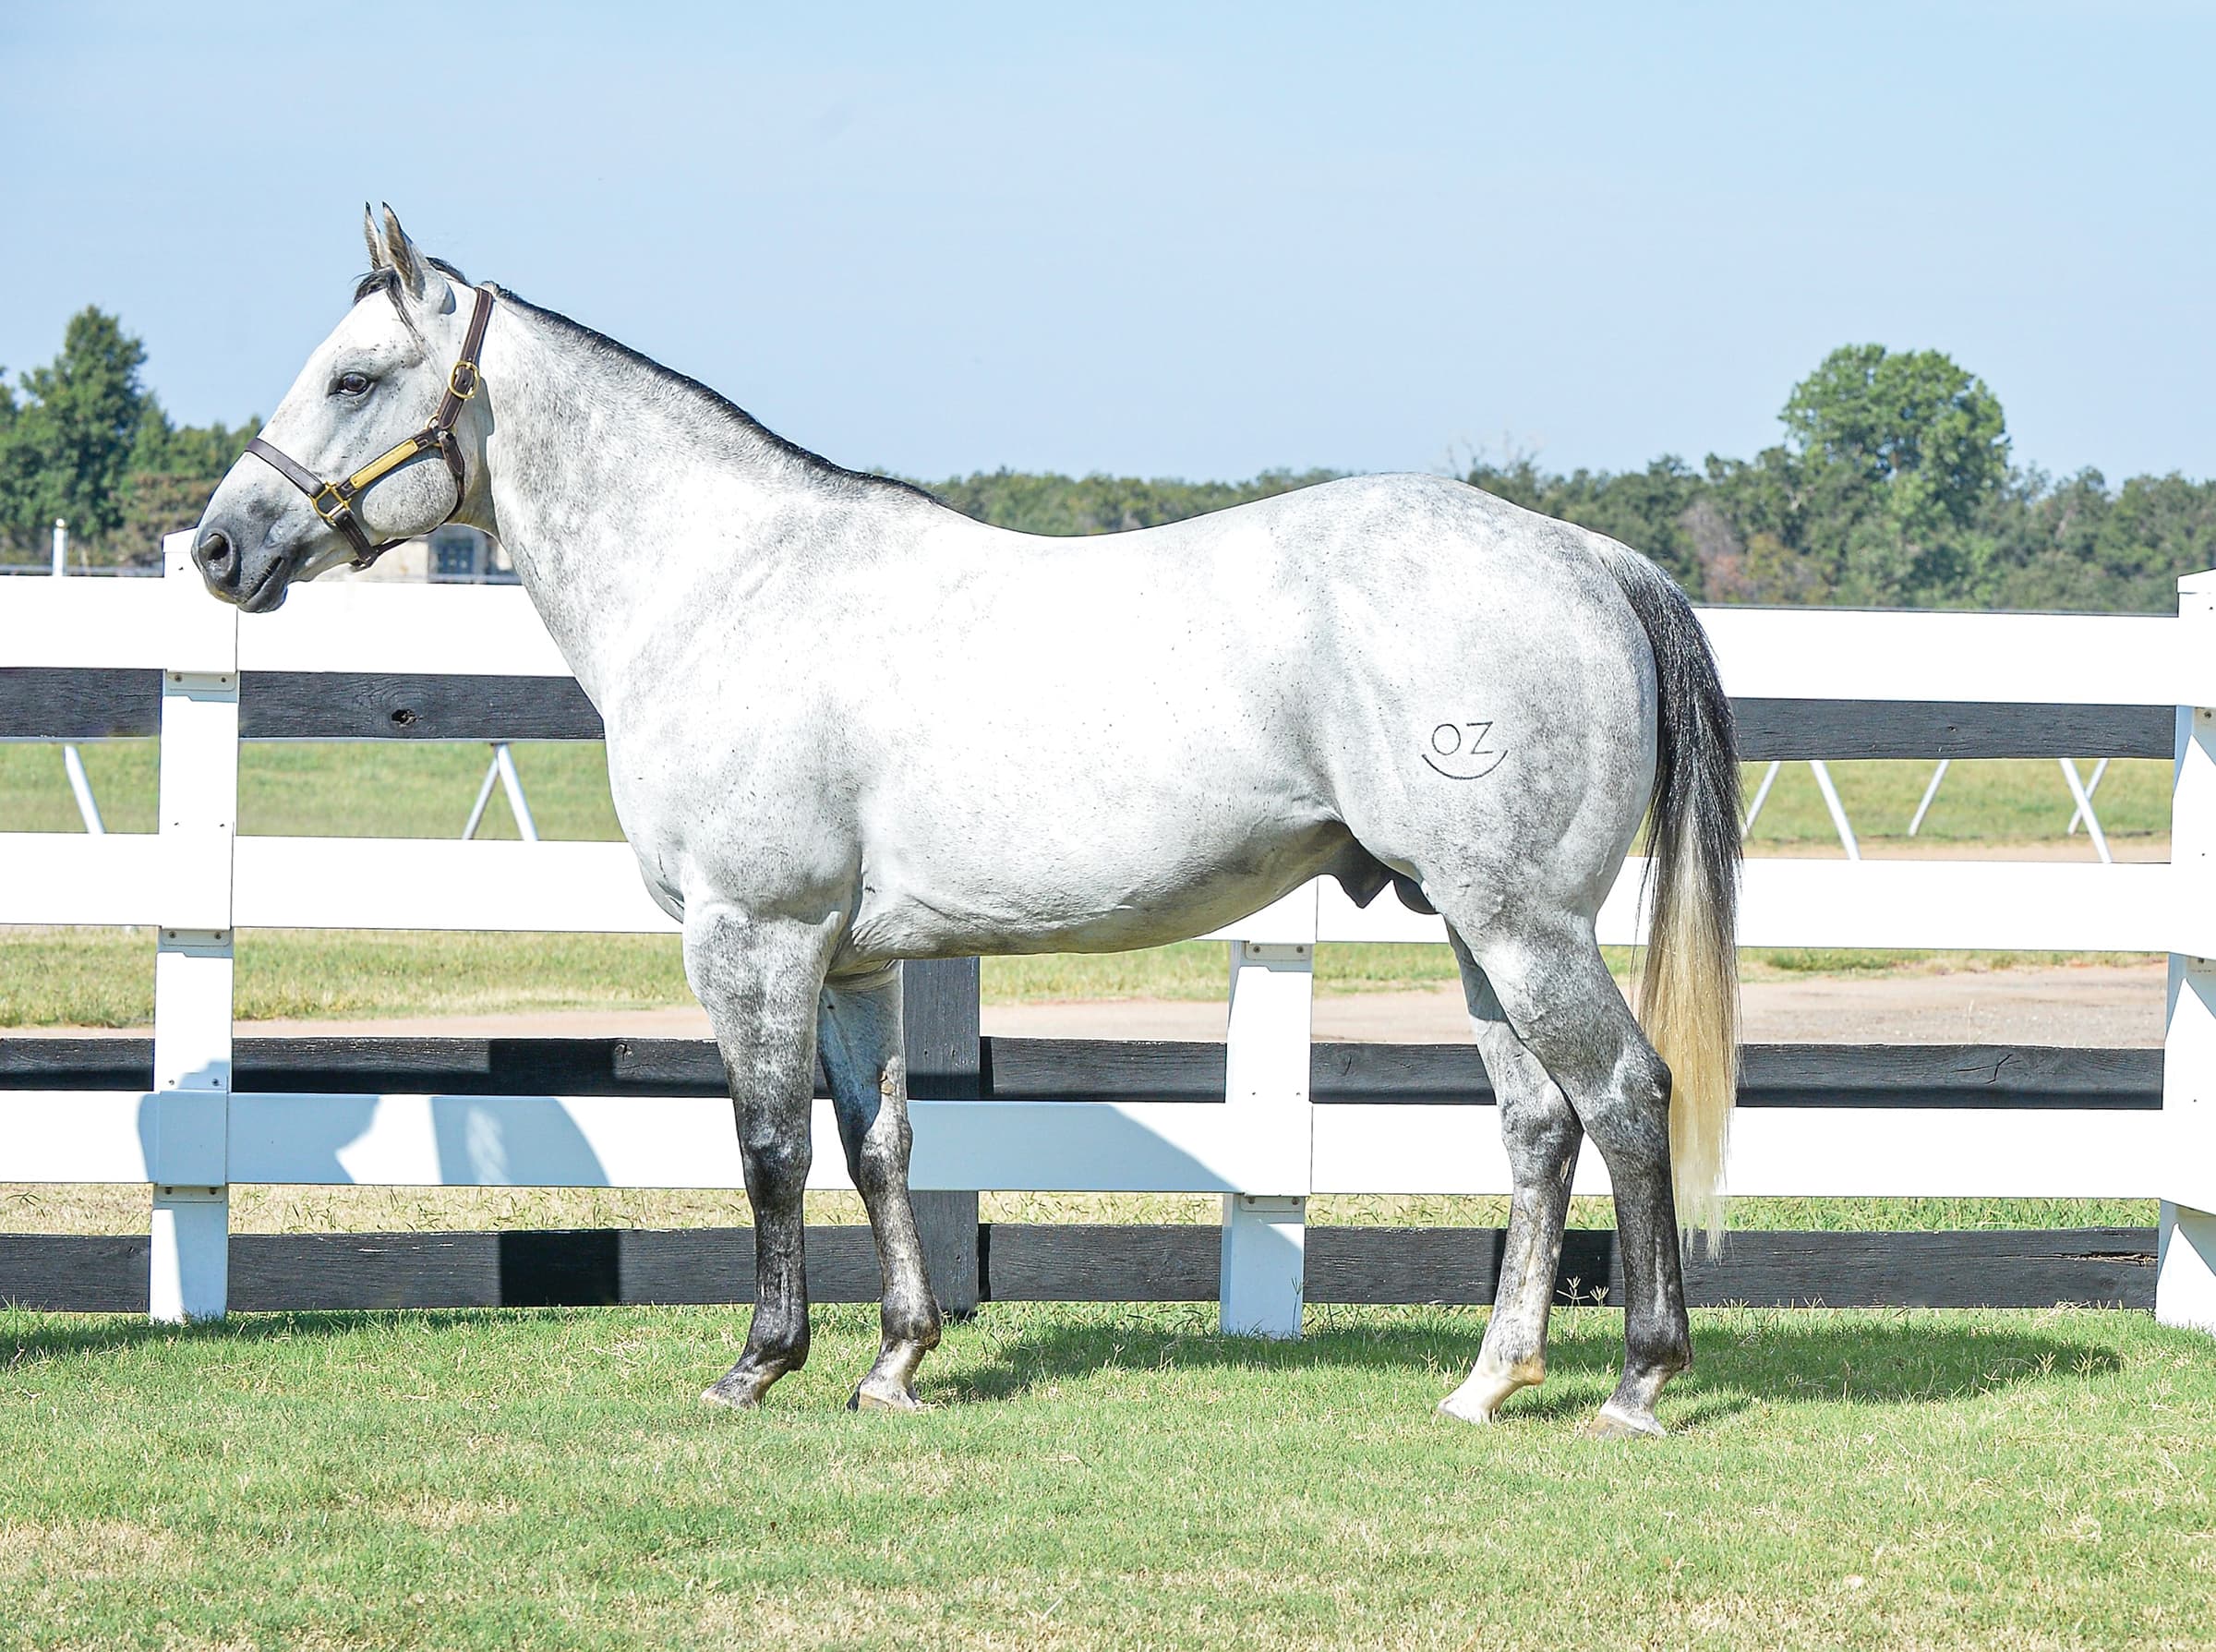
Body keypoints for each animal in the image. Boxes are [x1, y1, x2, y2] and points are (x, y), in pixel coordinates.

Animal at [192, 206, 1740, 1437]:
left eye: (355, 374)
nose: (218, 546)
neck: (728, 583)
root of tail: (1590, 555)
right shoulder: (855, 961)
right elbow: (878, 1146)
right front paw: (894, 1363)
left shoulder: (752, 937)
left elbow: (767, 1148)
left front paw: (758, 1364)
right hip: (1477, 929)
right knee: (1538, 1126)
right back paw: (1488, 1380)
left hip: (1525, 924)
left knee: (1627, 1097)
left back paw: (1638, 1383)